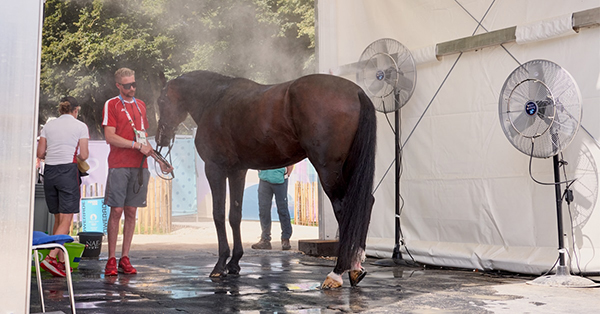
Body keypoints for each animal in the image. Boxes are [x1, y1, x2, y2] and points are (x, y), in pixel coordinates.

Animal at [157, 70, 378, 288]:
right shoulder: (237, 171)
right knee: (365, 203)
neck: (215, 99)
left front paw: (220, 266)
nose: (160, 139)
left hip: (328, 169)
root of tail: (356, 91)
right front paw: (234, 263)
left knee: (344, 208)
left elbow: (218, 214)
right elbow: (234, 215)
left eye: (161, 101)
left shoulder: (215, 168)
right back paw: (356, 267)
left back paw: (337, 272)